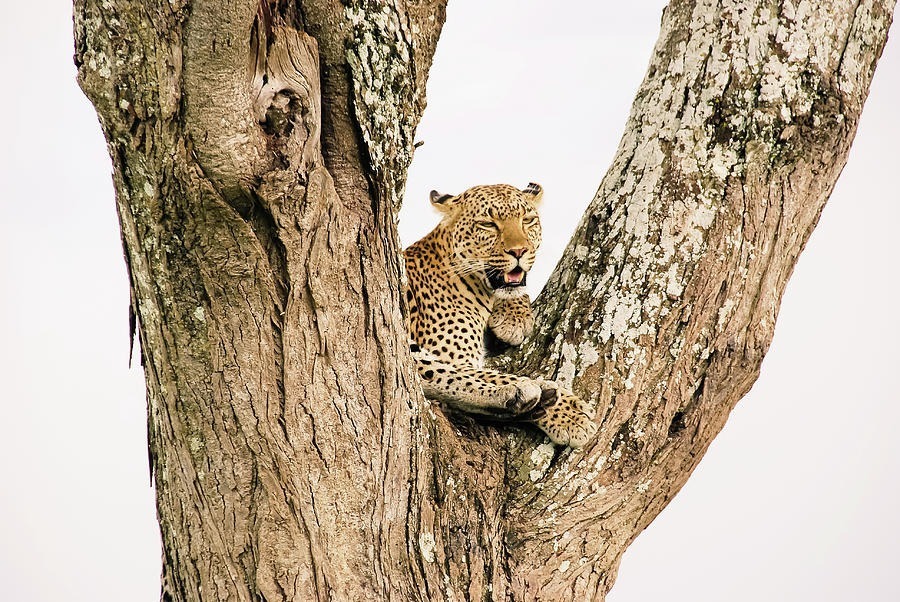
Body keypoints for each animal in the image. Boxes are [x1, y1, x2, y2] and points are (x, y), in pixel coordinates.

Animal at [403, 182, 598, 447]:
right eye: (488, 224)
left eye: (527, 220)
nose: (519, 251)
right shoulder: (451, 355)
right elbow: (473, 373)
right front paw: (568, 414)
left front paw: (514, 317)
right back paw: (526, 396)